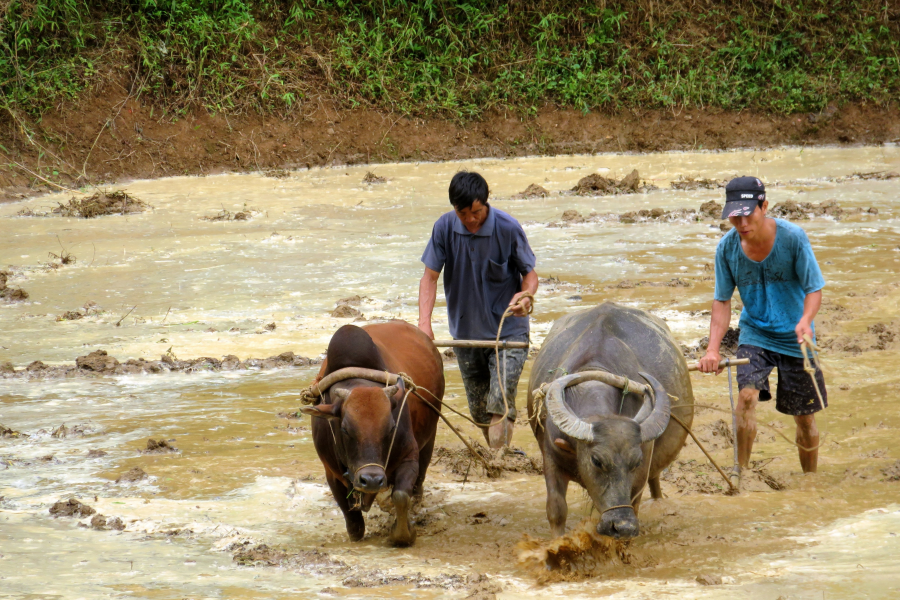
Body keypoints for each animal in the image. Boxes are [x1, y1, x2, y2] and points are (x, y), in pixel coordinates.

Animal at [532, 304, 692, 540]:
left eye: (636, 461)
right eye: (596, 461)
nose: (622, 525)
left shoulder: (642, 468)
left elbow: (635, 503)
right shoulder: (550, 455)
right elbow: (556, 509)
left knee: (654, 481)